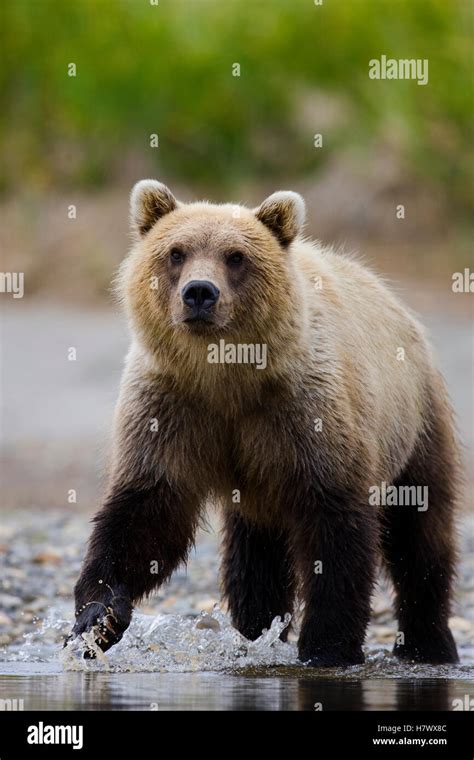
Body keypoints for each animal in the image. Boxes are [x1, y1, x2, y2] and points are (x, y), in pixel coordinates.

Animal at [70, 181, 460, 668]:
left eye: (236, 256)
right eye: (176, 252)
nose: (200, 292)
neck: (227, 378)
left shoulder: (306, 412)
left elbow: (336, 525)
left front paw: (328, 646)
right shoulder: (171, 408)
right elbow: (147, 509)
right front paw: (97, 618)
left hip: (415, 419)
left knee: (421, 532)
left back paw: (429, 643)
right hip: (258, 490)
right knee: (253, 557)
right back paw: (256, 630)